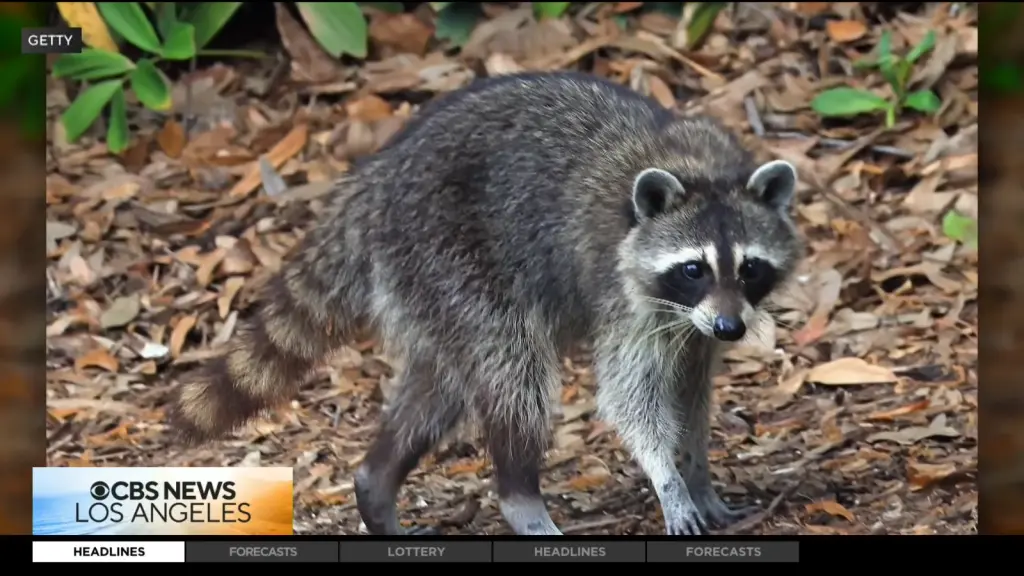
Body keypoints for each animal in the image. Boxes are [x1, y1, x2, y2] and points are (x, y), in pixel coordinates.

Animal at [172, 71, 804, 536]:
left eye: (749, 268)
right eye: (694, 269)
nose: (731, 327)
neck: (701, 172)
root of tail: (374, 181)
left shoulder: (694, 327)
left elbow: (691, 394)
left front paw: (696, 473)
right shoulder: (623, 297)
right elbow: (632, 399)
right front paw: (667, 479)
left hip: (426, 283)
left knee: (441, 385)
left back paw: (376, 483)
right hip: (452, 255)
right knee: (514, 375)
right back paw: (520, 498)